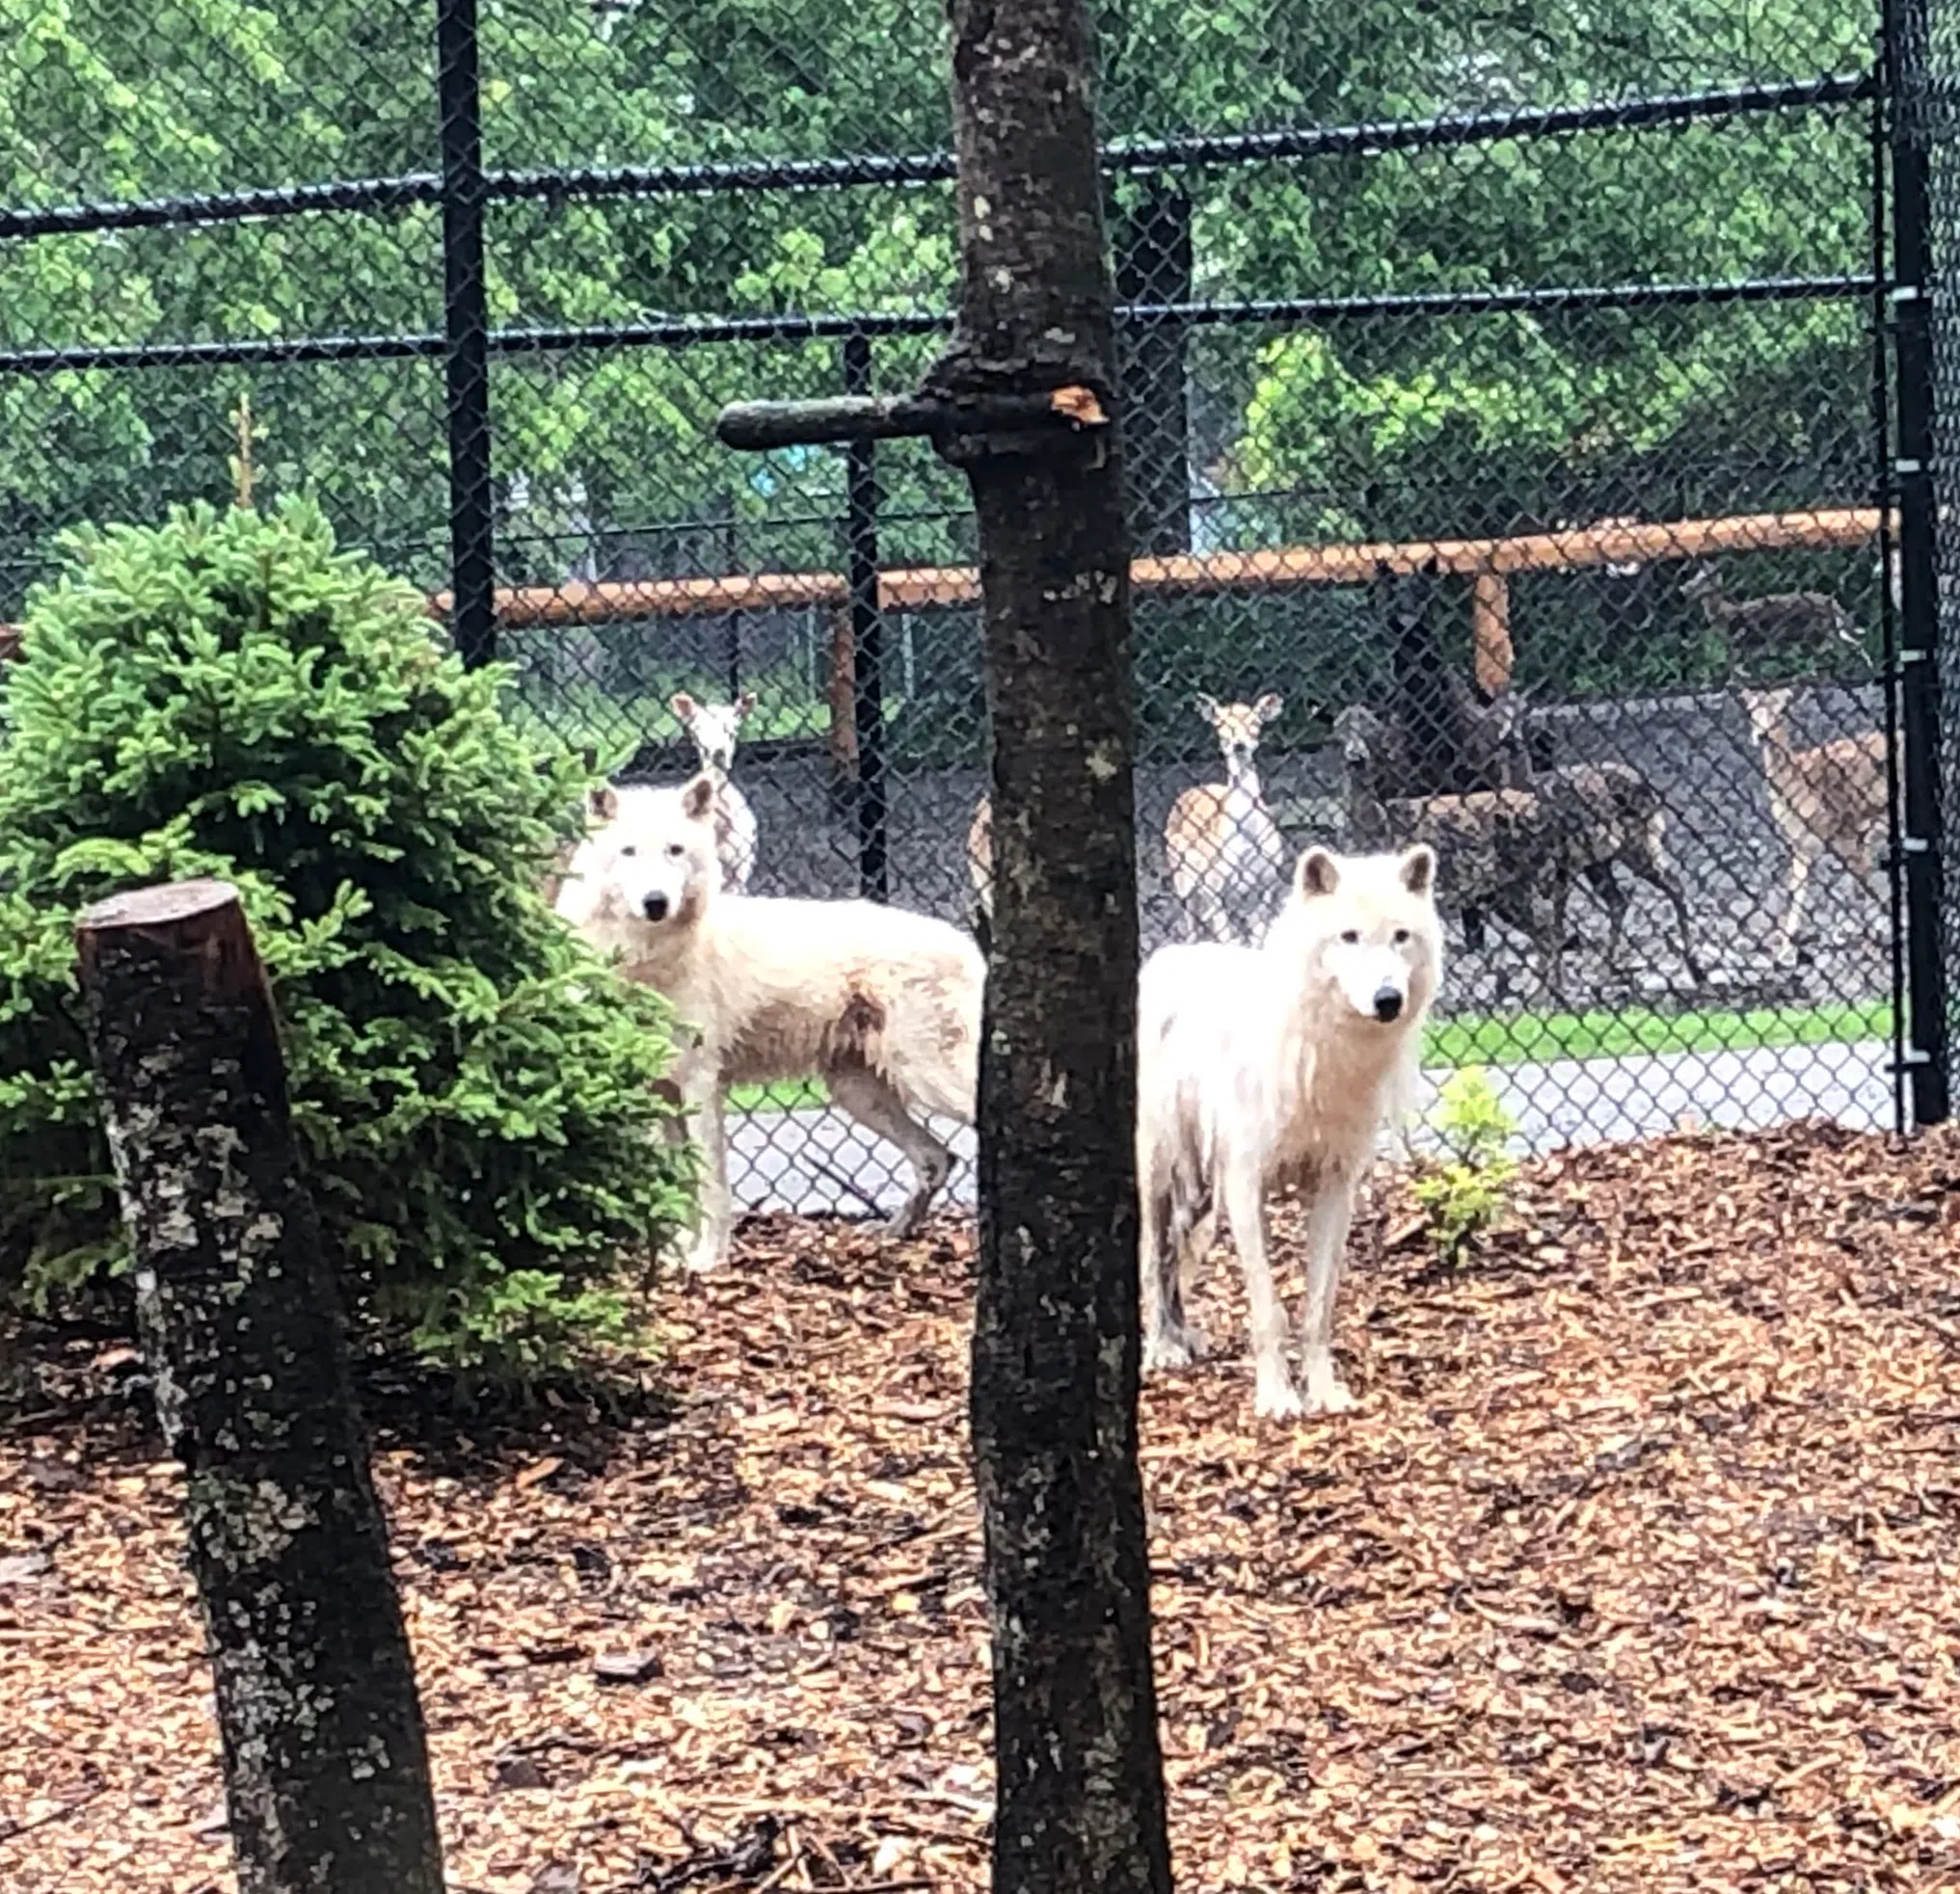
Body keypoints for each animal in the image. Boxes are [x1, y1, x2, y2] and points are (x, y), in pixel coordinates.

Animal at [552, 771, 980, 1276]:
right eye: (629, 851)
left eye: (675, 850)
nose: (656, 902)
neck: (643, 961)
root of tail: (969, 945)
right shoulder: (657, 1092)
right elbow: (680, 1188)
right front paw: (679, 1255)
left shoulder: (700, 1085)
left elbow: (710, 1186)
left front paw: (708, 1260)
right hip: (858, 1094)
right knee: (938, 1158)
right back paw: (893, 1232)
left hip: (925, 1078)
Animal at [1137, 845, 1442, 1426]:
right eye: (1348, 936)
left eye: (1400, 936)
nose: (1387, 999)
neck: (1321, 1053)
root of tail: (1166, 955)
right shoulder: (1244, 1188)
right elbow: (1268, 1310)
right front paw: (1277, 1398)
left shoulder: (1335, 1189)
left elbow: (1318, 1307)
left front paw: (1323, 1391)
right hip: (1159, 1181)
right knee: (1150, 1261)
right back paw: (1160, 1348)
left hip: (1199, 1198)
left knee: (1173, 1263)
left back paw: (1183, 1336)